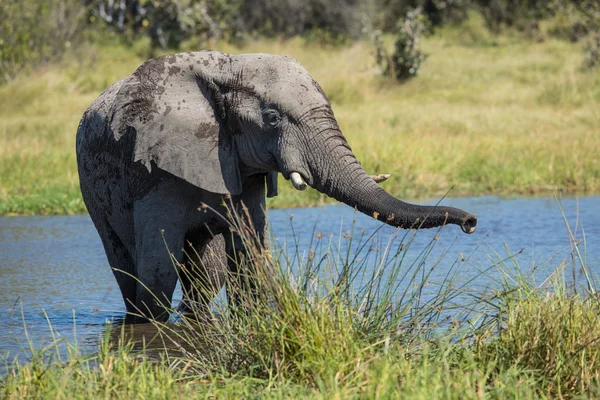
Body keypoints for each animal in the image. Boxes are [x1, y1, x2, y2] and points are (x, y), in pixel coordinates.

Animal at [76, 51, 478, 324]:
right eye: (271, 119)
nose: (471, 223)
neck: (226, 69)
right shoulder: (157, 172)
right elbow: (158, 267)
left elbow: (251, 258)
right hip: (92, 186)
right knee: (128, 265)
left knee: (207, 276)